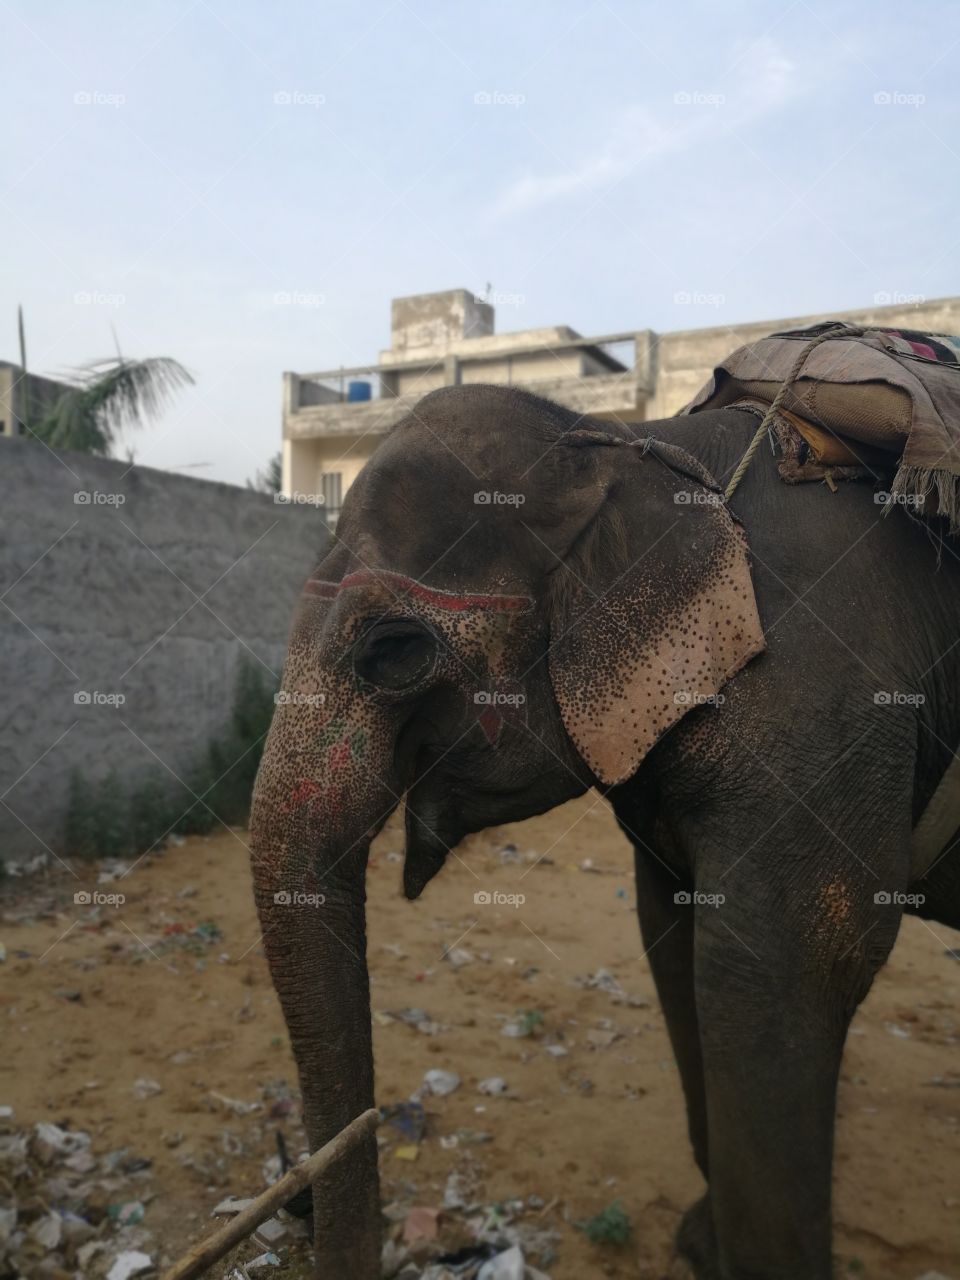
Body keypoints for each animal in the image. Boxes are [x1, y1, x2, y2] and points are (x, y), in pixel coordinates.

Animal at [249, 383, 960, 1279]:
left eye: (396, 651)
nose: (296, 1199)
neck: (630, 447)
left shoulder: (828, 703)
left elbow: (778, 970)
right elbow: (671, 933)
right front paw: (702, 1247)